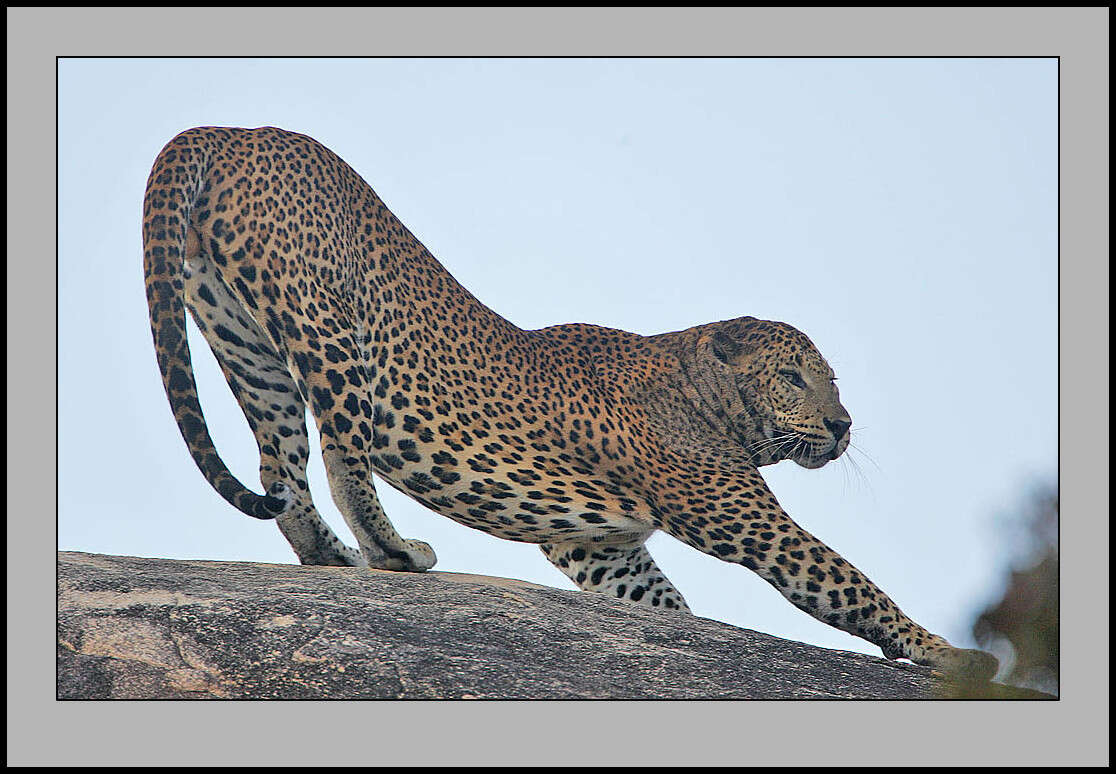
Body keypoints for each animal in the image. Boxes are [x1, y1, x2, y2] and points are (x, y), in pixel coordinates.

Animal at [143, 126, 999, 678]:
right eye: (793, 377)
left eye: (835, 382)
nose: (842, 425)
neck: (707, 393)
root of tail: (223, 128)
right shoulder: (750, 523)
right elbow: (851, 583)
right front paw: (952, 654)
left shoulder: (599, 547)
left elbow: (665, 606)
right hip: (325, 325)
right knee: (343, 453)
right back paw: (394, 552)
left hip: (242, 340)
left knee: (281, 469)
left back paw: (333, 555)